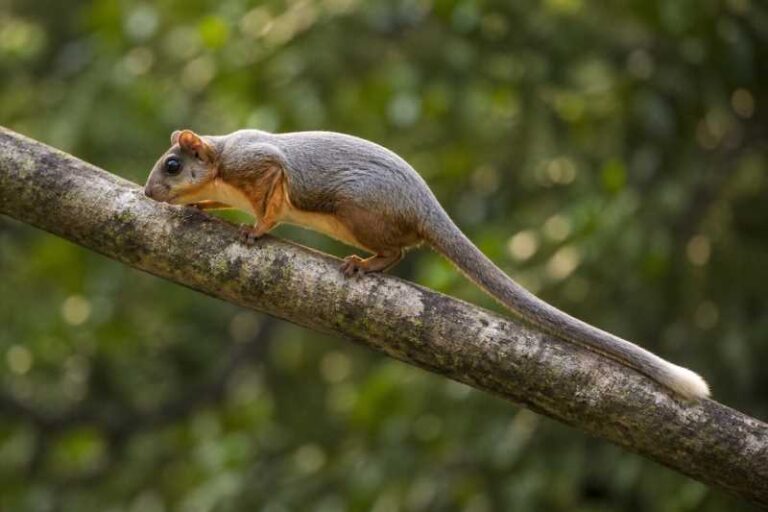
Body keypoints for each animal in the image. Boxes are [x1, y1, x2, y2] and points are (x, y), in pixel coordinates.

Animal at [144, 128, 710, 400]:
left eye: (172, 165)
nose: (149, 192)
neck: (222, 165)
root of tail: (424, 205)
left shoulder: (261, 166)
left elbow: (271, 203)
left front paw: (255, 230)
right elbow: (216, 204)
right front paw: (198, 208)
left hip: (359, 213)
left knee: (398, 251)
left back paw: (364, 264)